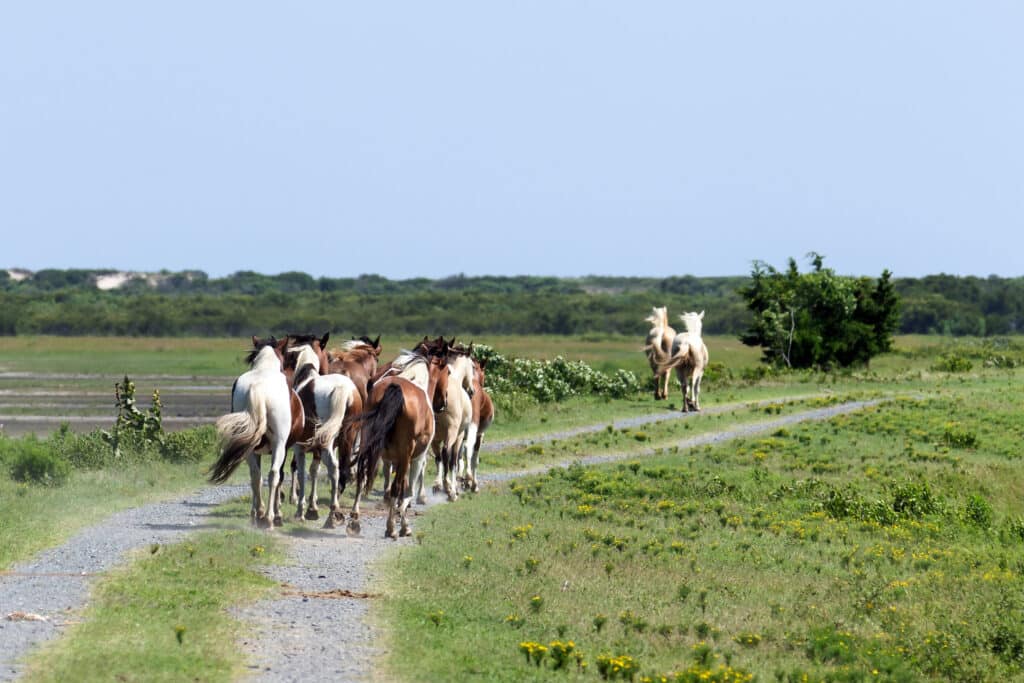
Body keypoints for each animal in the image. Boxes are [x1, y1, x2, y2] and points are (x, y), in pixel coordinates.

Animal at [207, 335, 301, 528]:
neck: (264, 369)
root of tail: (258, 387)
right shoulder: (283, 446)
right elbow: (279, 476)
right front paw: (277, 513)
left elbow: (256, 477)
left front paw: (258, 510)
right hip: (279, 444)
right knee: (273, 475)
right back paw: (270, 518)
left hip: (249, 445)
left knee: (255, 476)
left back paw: (258, 514)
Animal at [284, 335, 360, 528]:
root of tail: (343, 389)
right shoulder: (319, 448)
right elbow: (314, 471)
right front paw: (313, 508)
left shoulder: (300, 448)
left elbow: (302, 473)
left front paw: (301, 511)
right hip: (346, 438)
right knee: (341, 469)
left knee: (333, 467)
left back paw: (333, 514)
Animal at [348, 348, 448, 540]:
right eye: (448, 372)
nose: (444, 403)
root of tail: (395, 389)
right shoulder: (416, 458)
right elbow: (407, 491)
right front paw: (404, 525)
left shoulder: (393, 459)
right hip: (406, 456)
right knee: (396, 488)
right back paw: (391, 528)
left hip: (367, 444)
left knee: (361, 478)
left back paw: (355, 521)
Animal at [432, 348, 479, 501]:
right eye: (473, 366)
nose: (472, 391)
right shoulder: (458, 435)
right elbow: (453, 461)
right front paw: (453, 488)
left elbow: (441, 459)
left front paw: (441, 484)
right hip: (452, 433)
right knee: (447, 454)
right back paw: (450, 489)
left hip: (434, 438)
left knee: (439, 457)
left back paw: (439, 485)